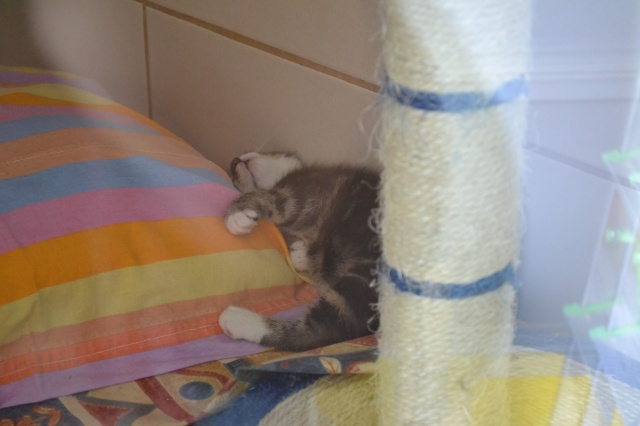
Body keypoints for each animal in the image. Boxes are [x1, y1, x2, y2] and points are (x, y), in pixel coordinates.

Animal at [219, 151, 380, 351]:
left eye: (232, 176)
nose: (235, 161)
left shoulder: (299, 193)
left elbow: (268, 198)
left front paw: (237, 215)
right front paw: (300, 255)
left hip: (361, 278)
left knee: (323, 331)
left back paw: (240, 320)